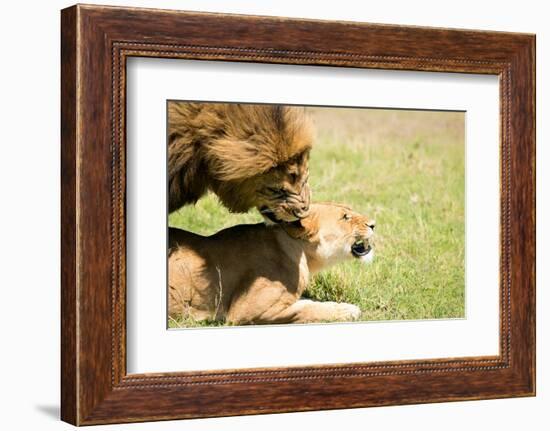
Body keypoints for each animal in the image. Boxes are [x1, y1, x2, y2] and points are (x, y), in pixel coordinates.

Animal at [168, 204, 376, 326]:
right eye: (345, 217)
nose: (373, 224)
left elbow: (309, 302)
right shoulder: (245, 311)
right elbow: (305, 309)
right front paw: (347, 310)